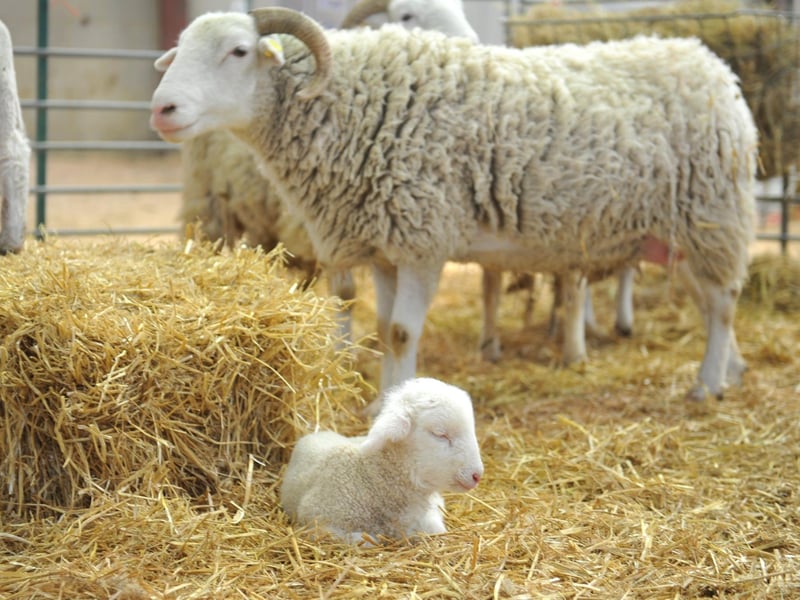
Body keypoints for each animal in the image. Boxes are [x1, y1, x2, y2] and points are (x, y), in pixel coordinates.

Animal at [149, 8, 759, 401]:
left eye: (239, 51)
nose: (162, 108)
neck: (349, 104)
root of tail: (712, 66)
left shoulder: (421, 238)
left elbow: (400, 333)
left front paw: (393, 403)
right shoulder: (383, 245)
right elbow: (387, 328)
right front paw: (384, 402)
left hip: (713, 215)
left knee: (726, 301)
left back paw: (707, 385)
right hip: (683, 232)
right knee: (712, 303)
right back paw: (730, 371)